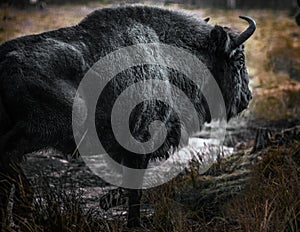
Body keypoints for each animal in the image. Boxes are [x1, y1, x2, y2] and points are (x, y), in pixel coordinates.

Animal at [0, 5, 255, 228]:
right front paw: (133, 222)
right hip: (41, 130)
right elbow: (135, 189)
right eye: (239, 59)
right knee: (9, 157)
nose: (248, 96)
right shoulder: (141, 142)